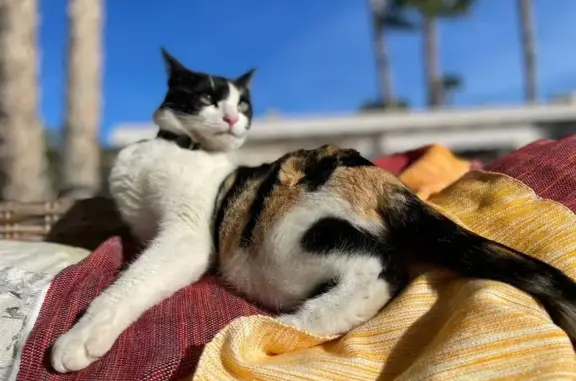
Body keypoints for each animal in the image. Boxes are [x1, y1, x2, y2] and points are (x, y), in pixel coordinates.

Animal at [50, 49, 255, 372]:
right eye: (207, 97)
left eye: (243, 104)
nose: (233, 118)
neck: (182, 146)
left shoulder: (187, 233)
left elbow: (134, 280)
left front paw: (81, 335)